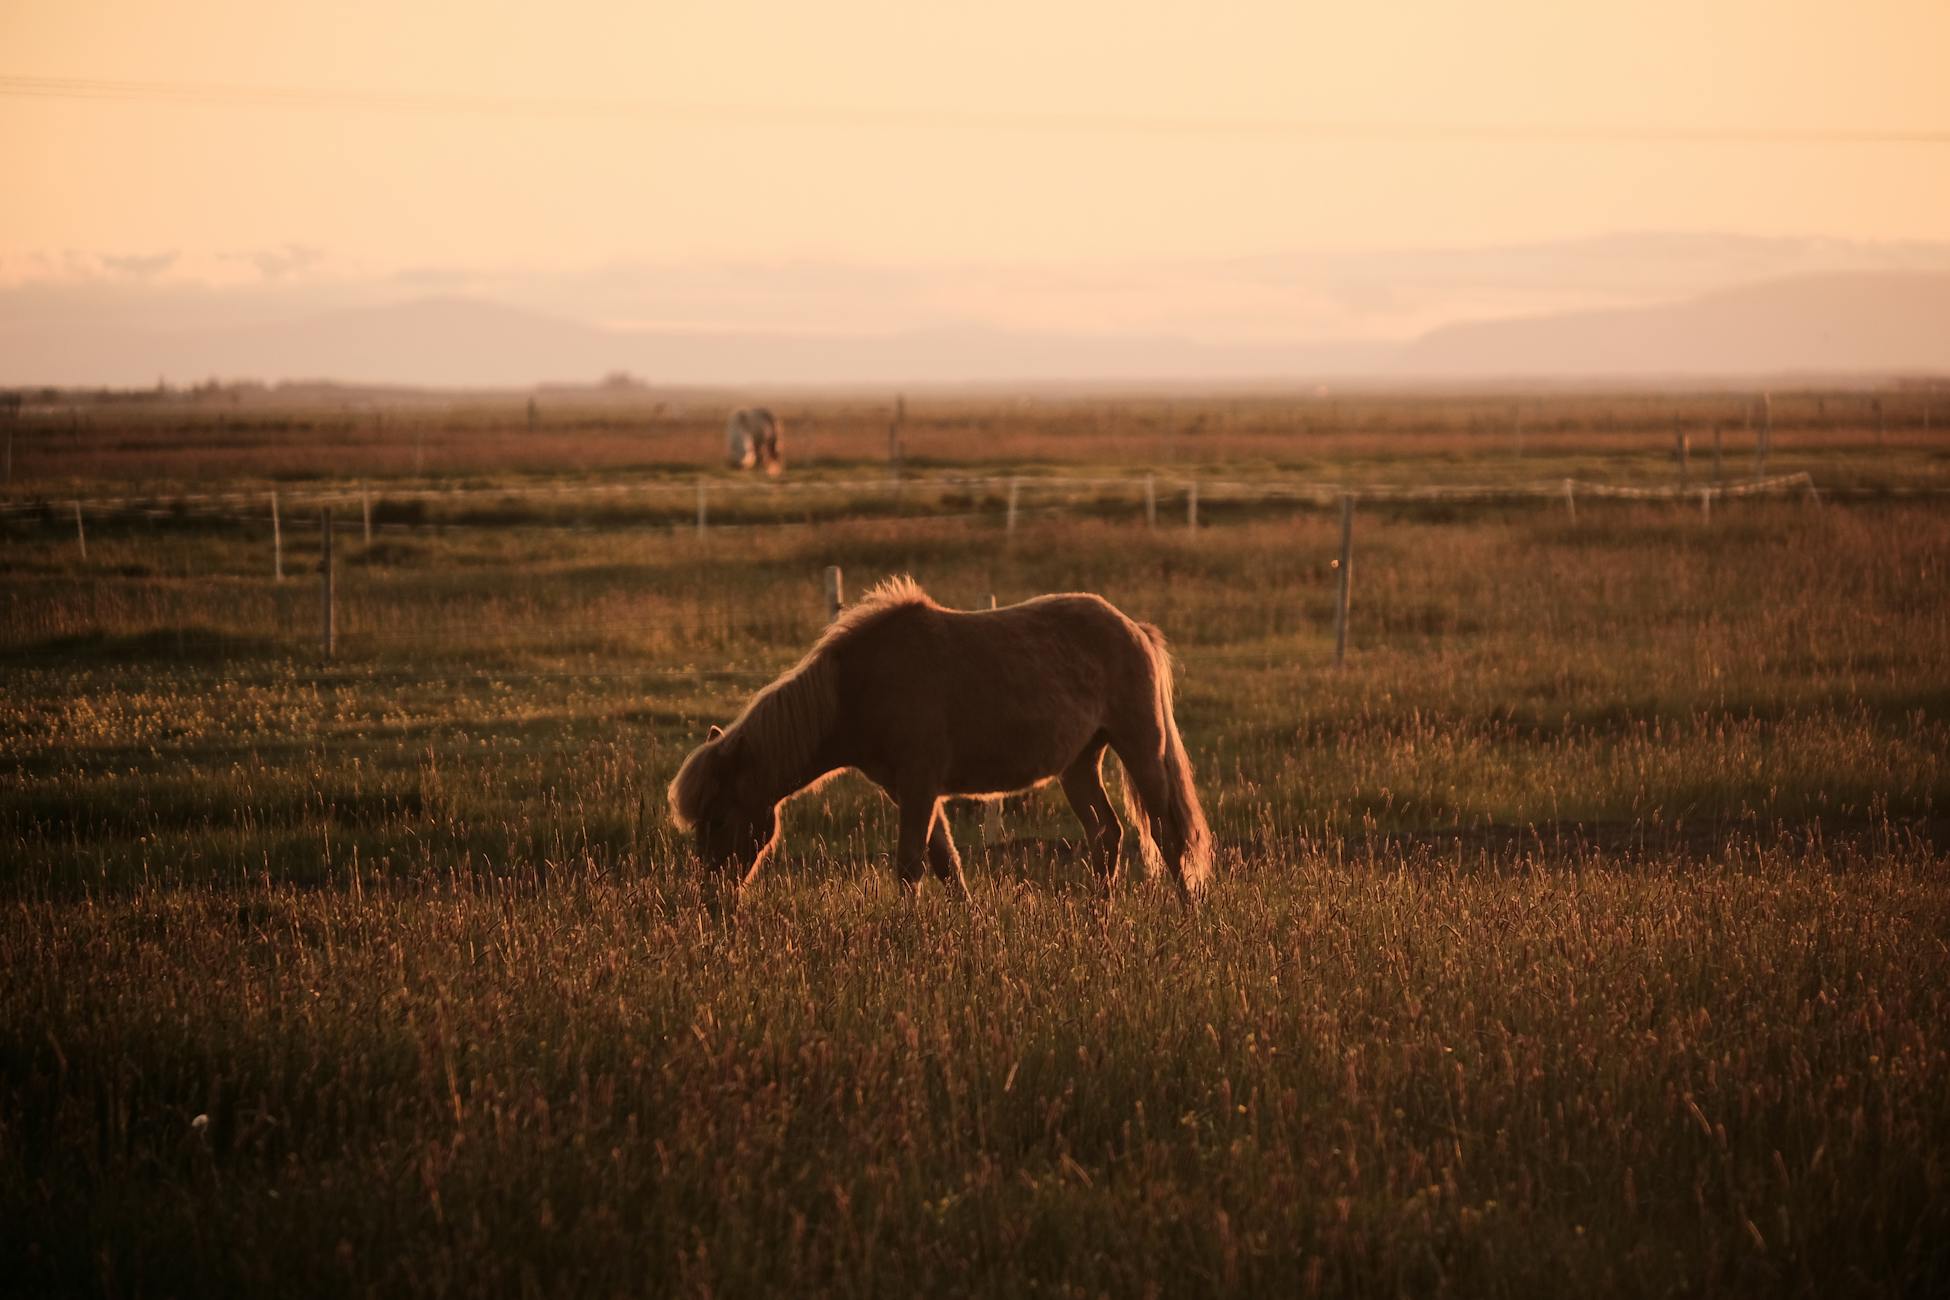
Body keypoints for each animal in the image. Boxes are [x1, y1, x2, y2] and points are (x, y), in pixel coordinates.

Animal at [668, 577, 1213, 901]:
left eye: (719, 819)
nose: (712, 899)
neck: (857, 687)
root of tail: (1133, 628)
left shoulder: (919, 786)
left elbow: (910, 865)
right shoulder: (909, 790)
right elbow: (944, 862)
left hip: (1140, 747)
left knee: (1165, 834)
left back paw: (1186, 912)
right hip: (1079, 763)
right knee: (1106, 834)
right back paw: (1099, 913)